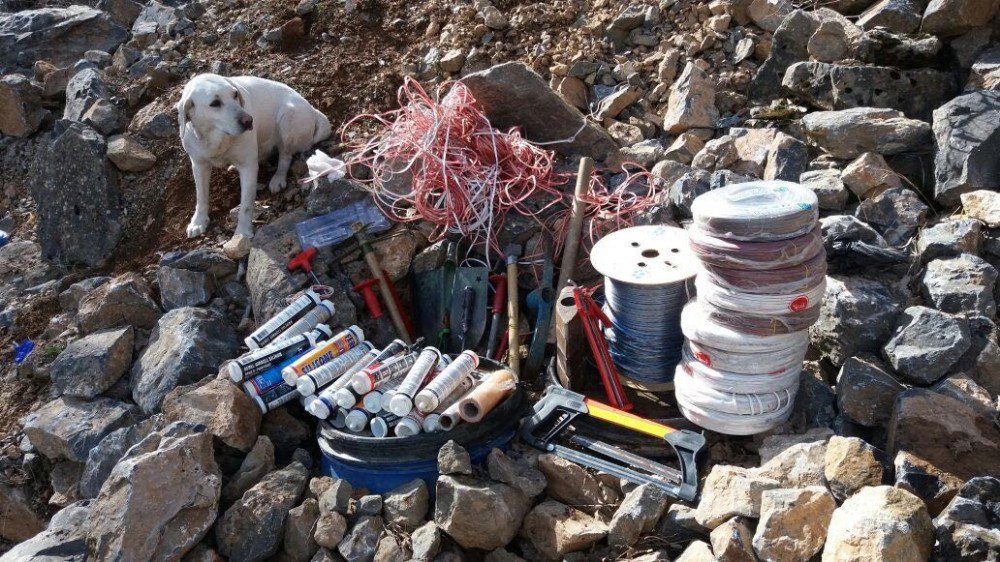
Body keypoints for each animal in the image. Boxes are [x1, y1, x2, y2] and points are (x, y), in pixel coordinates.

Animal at [179, 72, 332, 236]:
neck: (216, 137)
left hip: (287, 118)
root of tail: (312, 109)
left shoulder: (248, 168)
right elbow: (201, 196)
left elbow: (246, 205)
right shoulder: (199, 165)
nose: (248, 120)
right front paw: (198, 221)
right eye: (215, 103)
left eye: (235, 94)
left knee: (285, 156)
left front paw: (242, 233)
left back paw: (278, 177)